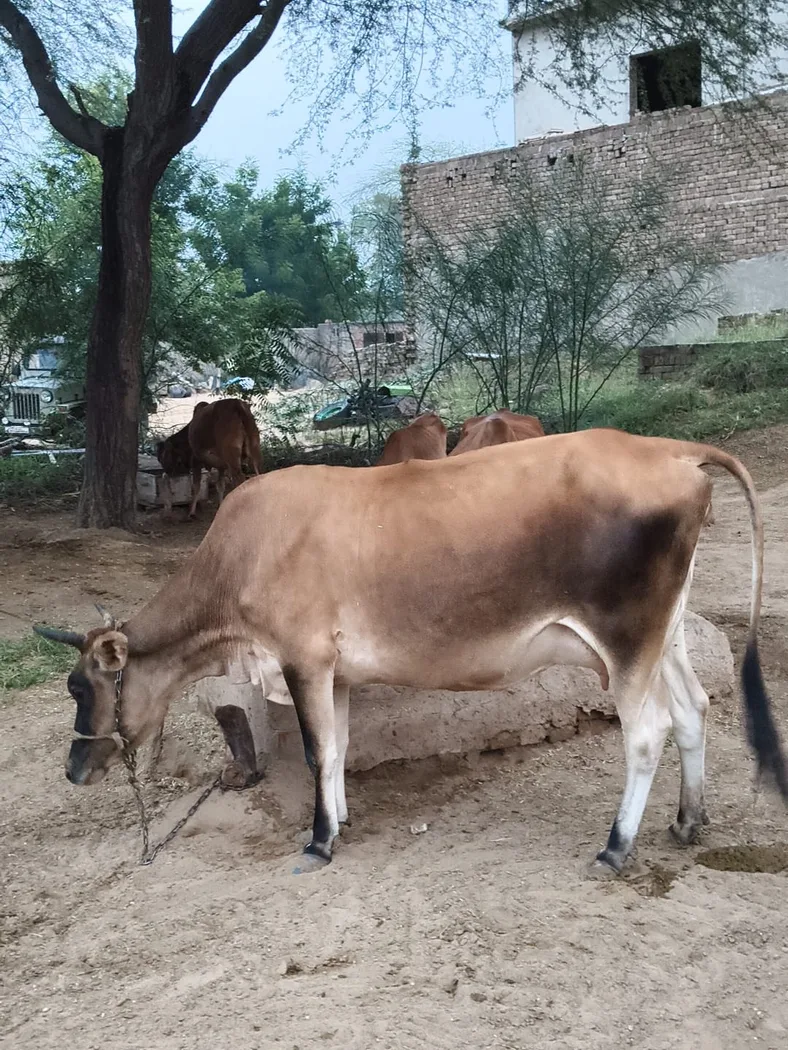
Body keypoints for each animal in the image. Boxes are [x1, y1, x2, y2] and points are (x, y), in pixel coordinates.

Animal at [37, 429, 787, 877]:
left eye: (81, 687)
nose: (73, 769)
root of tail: (668, 449)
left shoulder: (303, 657)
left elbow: (316, 749)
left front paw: (318, 841)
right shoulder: (334, 670)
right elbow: (337, 747)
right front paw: (339, 818)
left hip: (626, 640)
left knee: (647, 732)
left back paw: (615, 847)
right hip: (668, 633)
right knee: (692, 709)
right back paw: (688, 821)